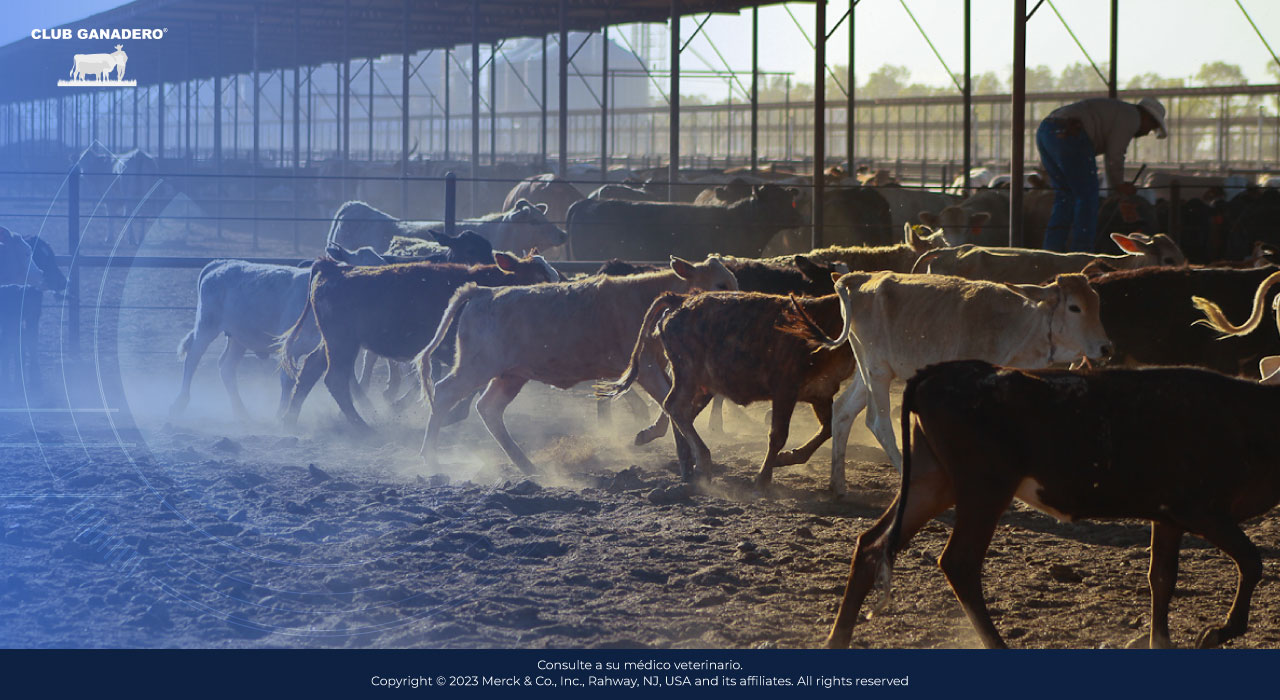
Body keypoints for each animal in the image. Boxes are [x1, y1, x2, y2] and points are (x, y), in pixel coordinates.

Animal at [280, 252, 560, 427]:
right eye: (538, 278)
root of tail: (336, 269)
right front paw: (448, 415)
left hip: (333, 341)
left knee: (311, 368)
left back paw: (290, 420)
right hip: (342, 342)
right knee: (335, 379)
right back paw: (363, 428)